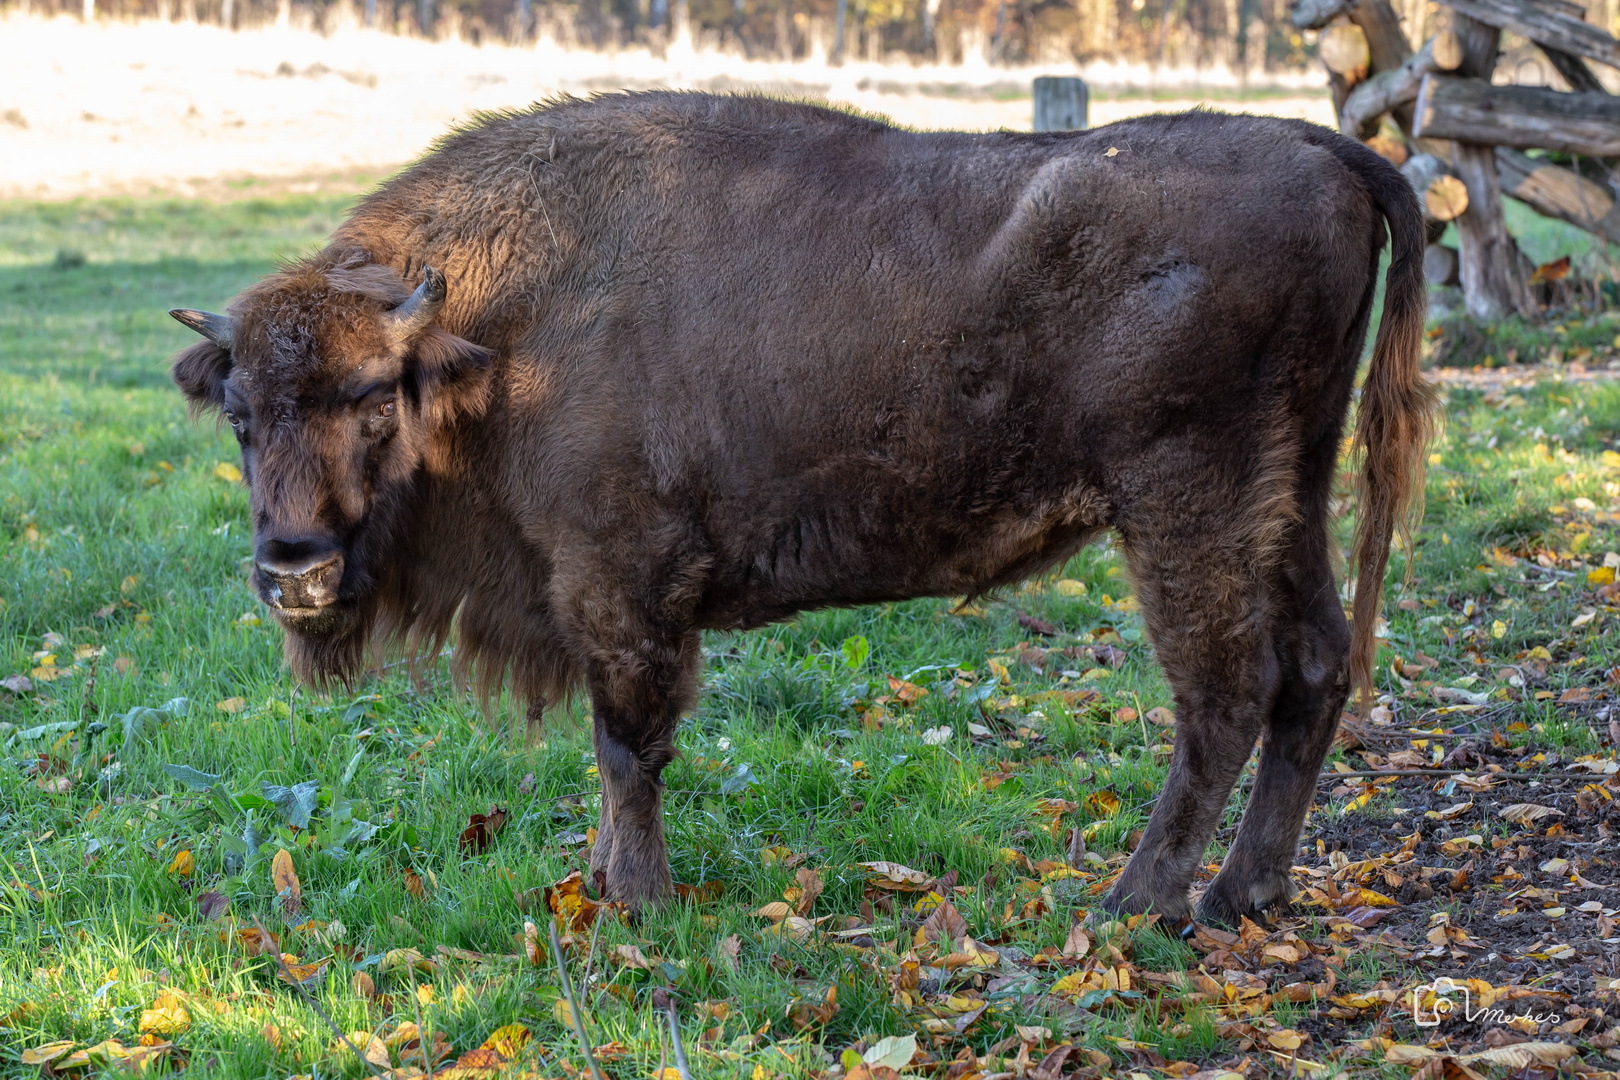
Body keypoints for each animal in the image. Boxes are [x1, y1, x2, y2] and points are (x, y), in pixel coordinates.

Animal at [170, 88, 1438, 926]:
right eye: (238, 413)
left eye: (373, 397)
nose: (293, 568)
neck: (491, 331)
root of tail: (1323, 146)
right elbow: (616, 751)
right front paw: (604, 883)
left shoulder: (619, 585)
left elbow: (630, 743)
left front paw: (638, 905)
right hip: (1293, 489)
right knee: (1314, 667)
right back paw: (1243, 894)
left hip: (1184, 501)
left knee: (1224, 692)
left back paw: (1133, 904)